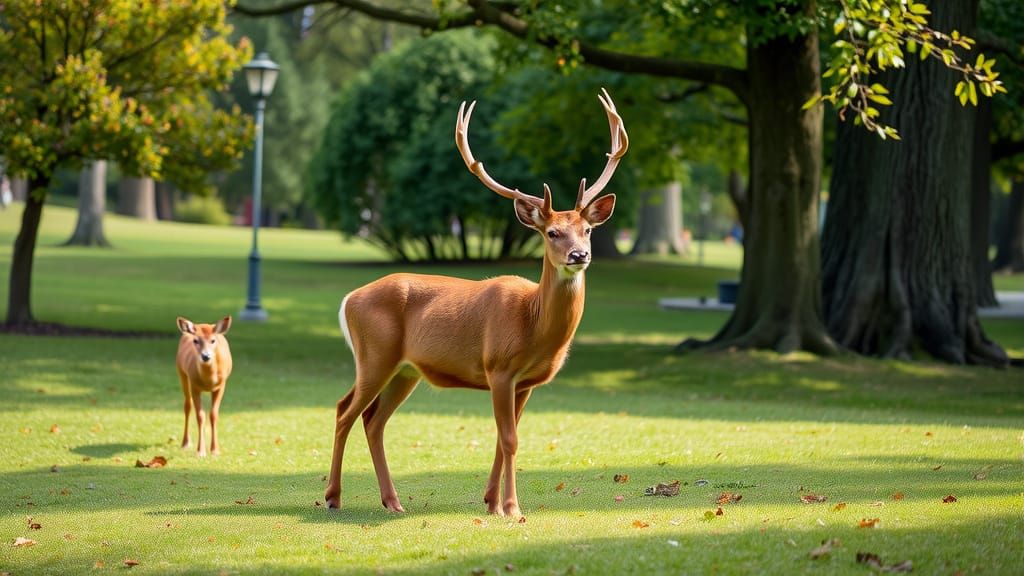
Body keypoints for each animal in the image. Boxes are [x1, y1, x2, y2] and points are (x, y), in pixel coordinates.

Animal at [176, 316, 233, 457]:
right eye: (196, 340)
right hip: (181, 373)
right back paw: (185, 443)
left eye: (213, 340)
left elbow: (213, 414)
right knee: (187, 406)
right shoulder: (194, 385)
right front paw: (200, 451)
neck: (209, 380)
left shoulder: (221, 385)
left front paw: (215, 450)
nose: (206, 356)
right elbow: (200, 416)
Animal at [324, 89, 628, 517]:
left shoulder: (526, 382)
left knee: (373, 420)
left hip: (405, 370)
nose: (579, 255)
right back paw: (333, 496)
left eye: (587, 229)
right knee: (344, 410)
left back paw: (393, 501)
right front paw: (513, 509)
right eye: (552, 233)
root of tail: (349, 299)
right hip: (375, 355)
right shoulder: (498, 367)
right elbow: (510, 439)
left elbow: (504, 439)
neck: (532, 324)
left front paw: (492, 503)